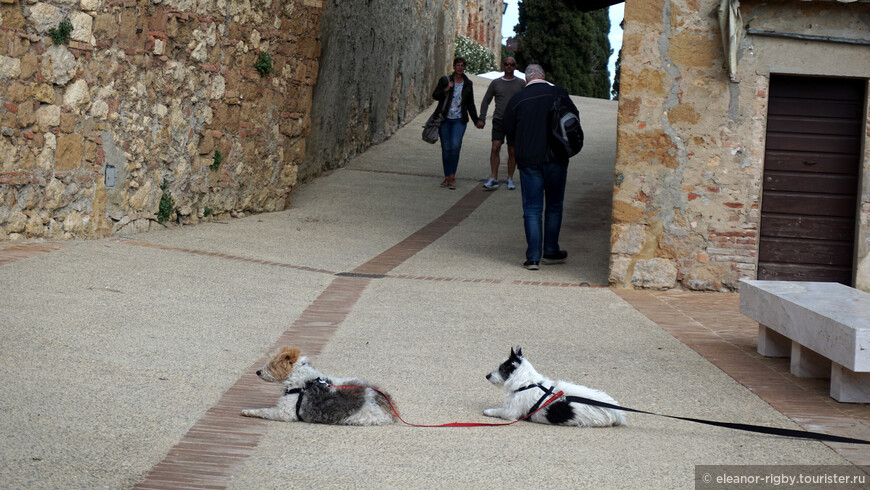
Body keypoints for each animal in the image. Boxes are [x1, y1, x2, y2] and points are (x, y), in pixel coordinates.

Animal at [242, 344, 398, 424]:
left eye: (273, 365)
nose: (257, 372)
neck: (302, 383)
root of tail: (387, 403)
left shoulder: (284, 412)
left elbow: (264, 411)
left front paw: (248, 411)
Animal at [484, 346, 628, 426]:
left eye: (501, 368)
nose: (487, 376)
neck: (527, 383)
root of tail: (617, 412)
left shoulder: (510, 412)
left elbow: (499, 411)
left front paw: (488, 411)